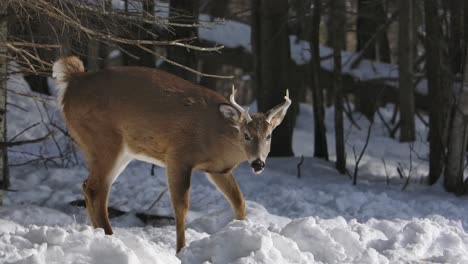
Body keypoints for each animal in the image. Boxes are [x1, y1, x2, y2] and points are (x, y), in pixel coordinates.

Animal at [53, 56, 290, 253]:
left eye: (269, 135)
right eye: (246, 135)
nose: (258, 163)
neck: (215, 136)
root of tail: (73, 81)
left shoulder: (217, 170)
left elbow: (239, 202)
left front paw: (241, 233)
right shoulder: (178, 156)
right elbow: (181, 206)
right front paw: (180, 250)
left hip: (119, 150)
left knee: (90, 186)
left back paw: (100, 235)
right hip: (104, 139)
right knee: (96, 189)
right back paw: (111, 238)